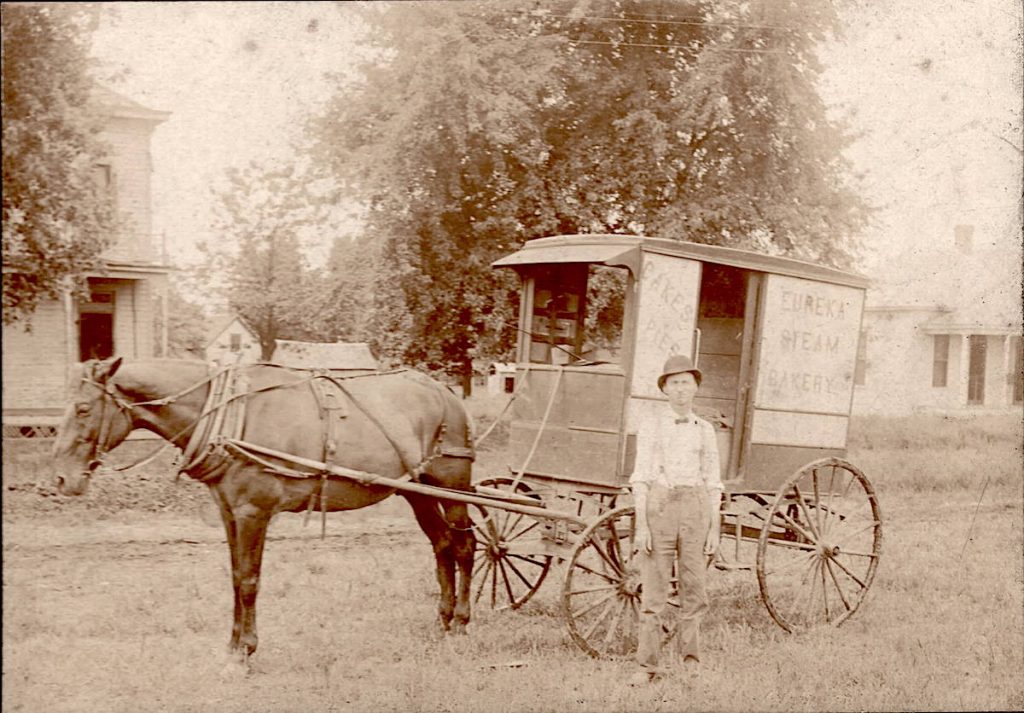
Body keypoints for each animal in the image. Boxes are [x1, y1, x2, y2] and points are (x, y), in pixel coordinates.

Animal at [51, 354, 475, 663]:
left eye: (83, 409)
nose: (59, 479)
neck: (229, 420)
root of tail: (445, 391)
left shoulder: (253, 512)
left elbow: (250, 581)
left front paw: (246, 650)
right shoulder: (229, 512)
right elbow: (236, 577)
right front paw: (233, 646)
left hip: (452, 486)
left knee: (464, 547)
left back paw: (461, 622)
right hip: (417, 491)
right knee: (442, 545)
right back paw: (443, 619)